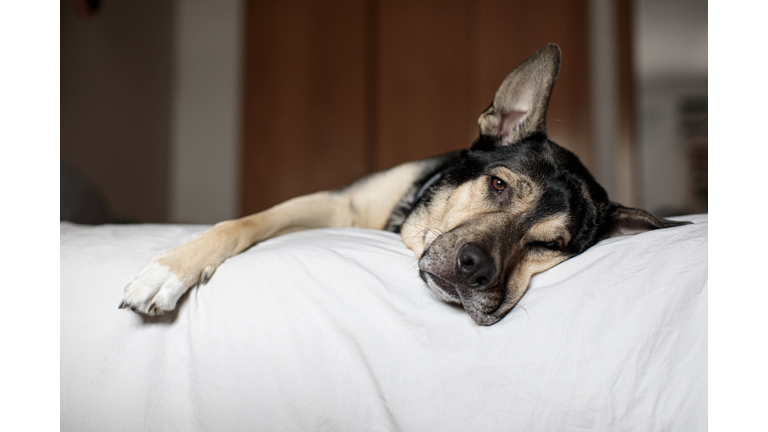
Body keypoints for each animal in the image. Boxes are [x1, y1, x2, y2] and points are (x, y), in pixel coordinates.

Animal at [120, 44, 688, 328]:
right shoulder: (340, 206)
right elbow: (243, 222)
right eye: (498, 185)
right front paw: (169, 271)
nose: (474, 269)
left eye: (551, 246)